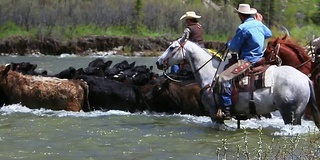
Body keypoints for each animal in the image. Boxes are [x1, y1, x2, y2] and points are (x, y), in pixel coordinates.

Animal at [156, 39, 320, 130]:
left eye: (172, 48)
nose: (158, 62)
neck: (210, 73)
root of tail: (305, 79)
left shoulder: (214, 112)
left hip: (289, 113)